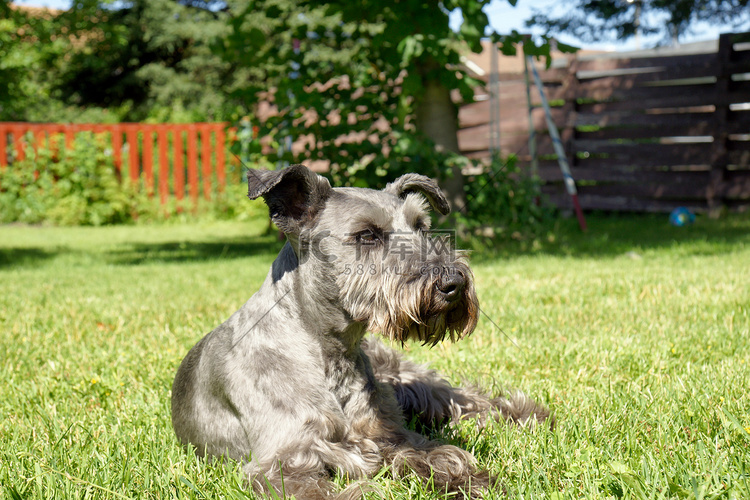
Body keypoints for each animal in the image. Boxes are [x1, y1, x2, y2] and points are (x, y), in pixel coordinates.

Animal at [173, 165, 556, 500]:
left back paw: (526, 415)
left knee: (462, 398)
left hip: (406, 380)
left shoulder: (388, 436)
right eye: (367, 235)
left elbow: (439, 455)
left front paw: (469, 481)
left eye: (421, 226)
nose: (453, 283)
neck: (330, 351)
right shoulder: (283, 462)